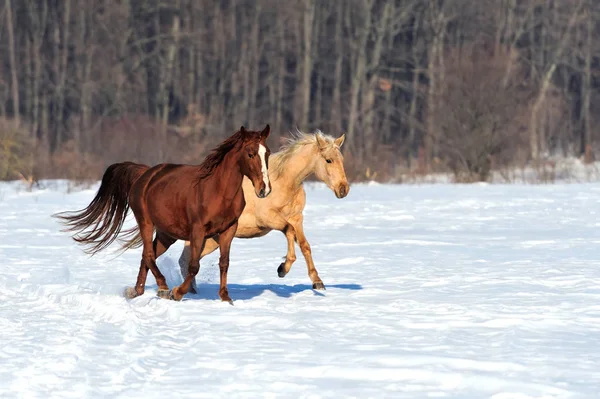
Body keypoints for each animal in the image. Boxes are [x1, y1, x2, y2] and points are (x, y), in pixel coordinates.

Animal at [55, 125, 274, 304]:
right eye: (250, 154)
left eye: (267, 153)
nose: (264, 189)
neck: (218, 191)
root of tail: (145, 174)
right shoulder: (198, 231)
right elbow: (193, 266)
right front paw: (176, 293)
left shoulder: (229, 229)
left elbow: (224, 263)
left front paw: (226, 298)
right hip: (146, 222)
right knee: (149, 255)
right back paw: (162, 287)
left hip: (166, 234)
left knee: (146, 256)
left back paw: (136, 292)